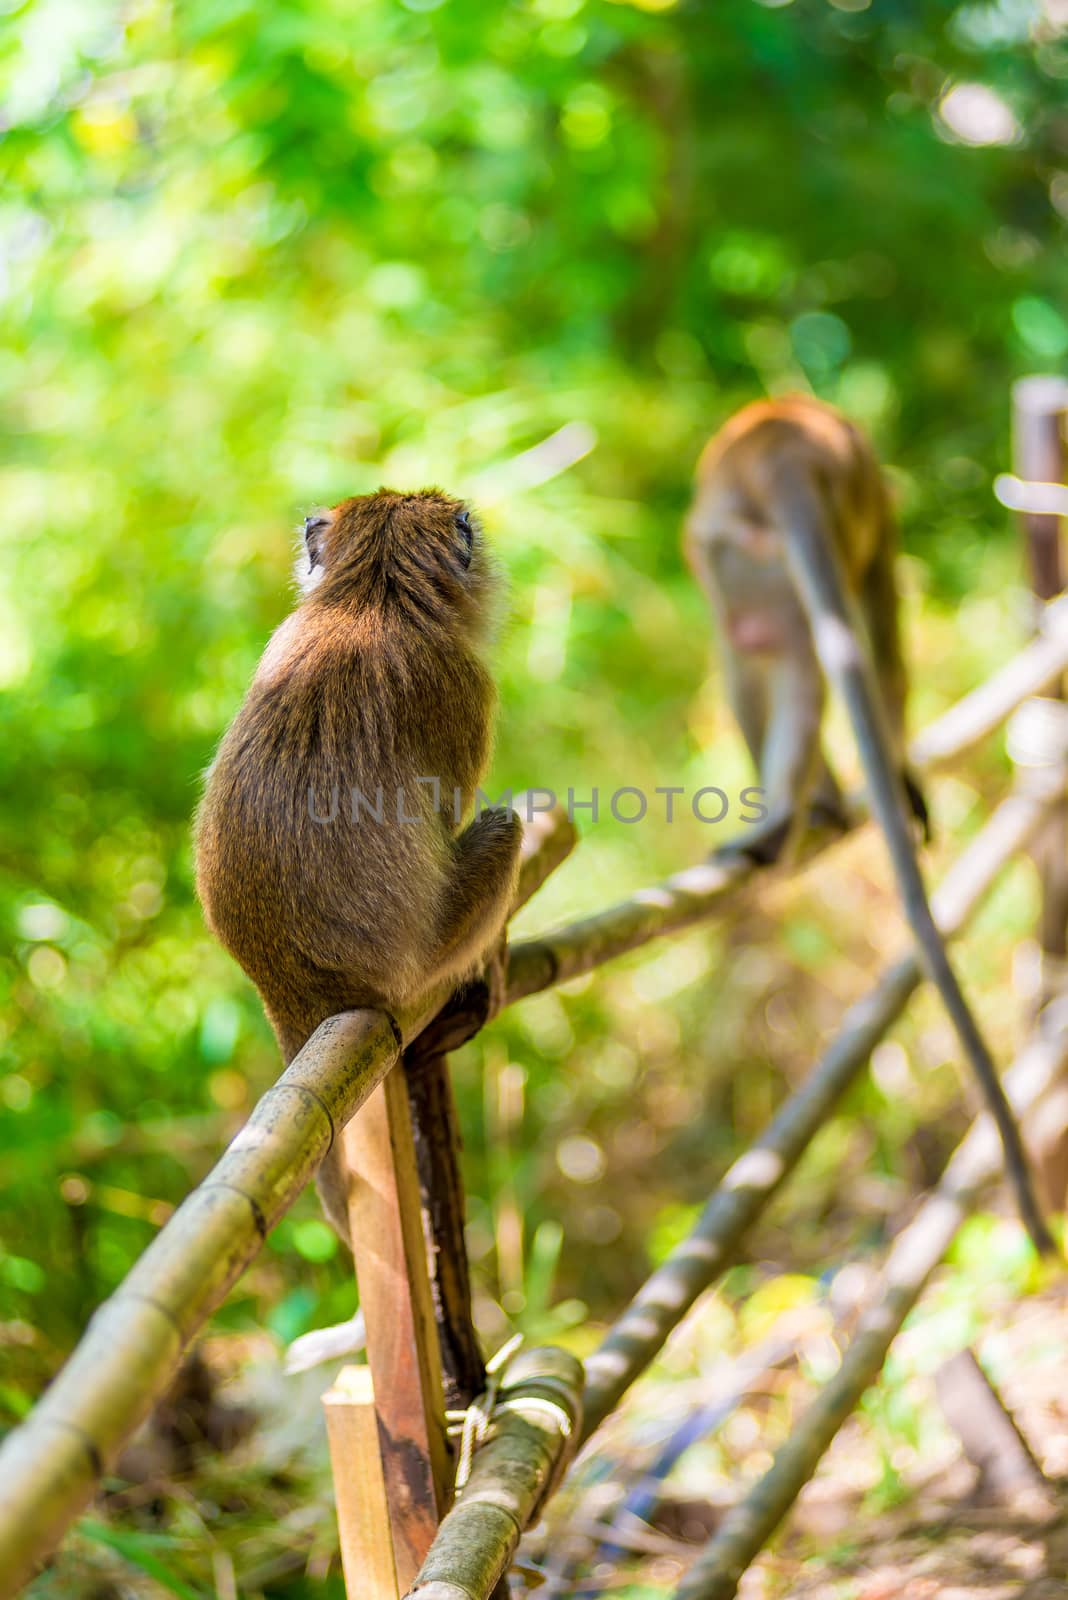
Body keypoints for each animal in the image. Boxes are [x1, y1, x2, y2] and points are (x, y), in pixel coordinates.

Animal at [687, 396, 1048, 1248]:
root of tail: (781, 444)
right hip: (761, 558)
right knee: (822, 645)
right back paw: (808, 807)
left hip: (737, 560)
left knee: (759, 652)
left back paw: (786, 815)